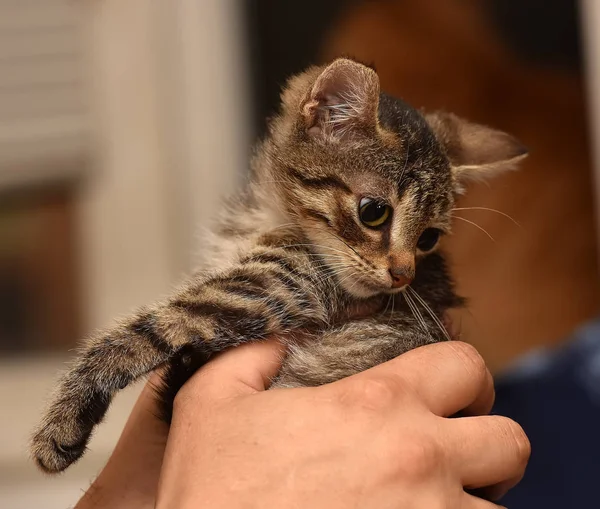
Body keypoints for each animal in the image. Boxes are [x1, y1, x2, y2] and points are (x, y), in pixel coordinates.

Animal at [29, 56, 524, 472]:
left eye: (428, 238)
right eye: (374, 212)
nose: (403, 275)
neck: (268, 217)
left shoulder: (271, 287)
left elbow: (159, 324)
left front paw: (66, 414)